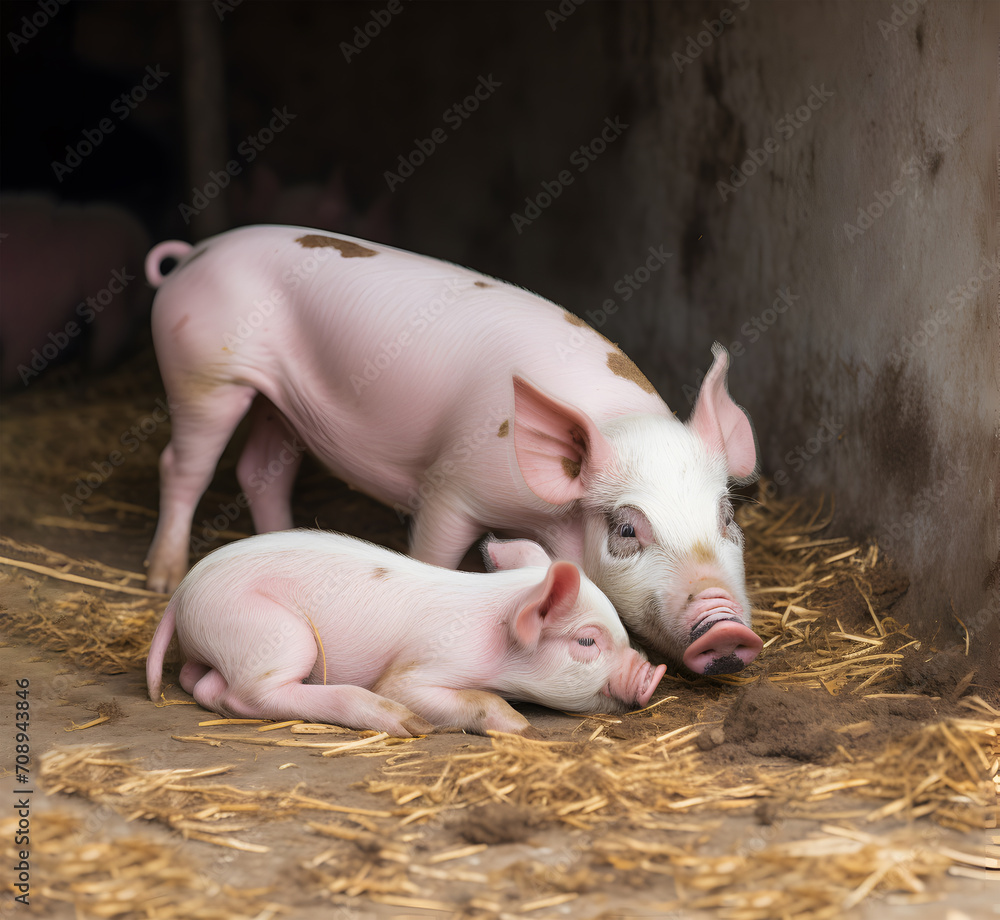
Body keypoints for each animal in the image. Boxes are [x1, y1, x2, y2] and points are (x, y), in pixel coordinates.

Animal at [143, 225, 763, 676]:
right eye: (628, 530)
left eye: (727, 518)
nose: (727, 626)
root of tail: (195, 253)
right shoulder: (450, 487)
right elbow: (434, 553)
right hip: (203, 373)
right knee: (181, 465)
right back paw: (160, 579)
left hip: (279, 406)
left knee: (260, 472)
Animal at [145, 530, 666, 735]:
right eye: (587, 641)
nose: (655, 674)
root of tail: (183, 592)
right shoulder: (424, 665)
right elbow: (421, 690)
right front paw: (524, 729)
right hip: (278, 634)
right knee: (246, 694)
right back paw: (404, 724)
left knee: (204, 684)